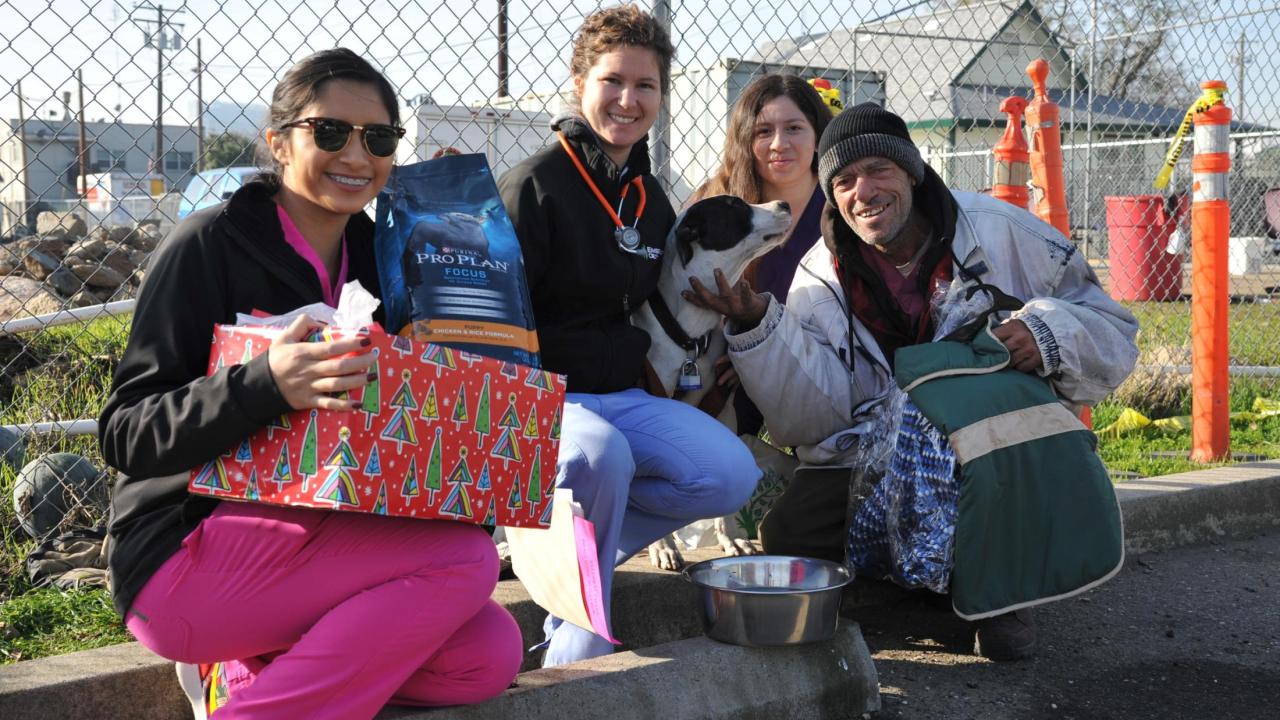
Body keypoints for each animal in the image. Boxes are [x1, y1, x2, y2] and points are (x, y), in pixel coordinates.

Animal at [629, 193, 788, 568]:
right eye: (733, 206)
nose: (785, 204)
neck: (690, 331)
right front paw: (662, 546)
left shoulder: (721, 412)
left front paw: (730, 539)